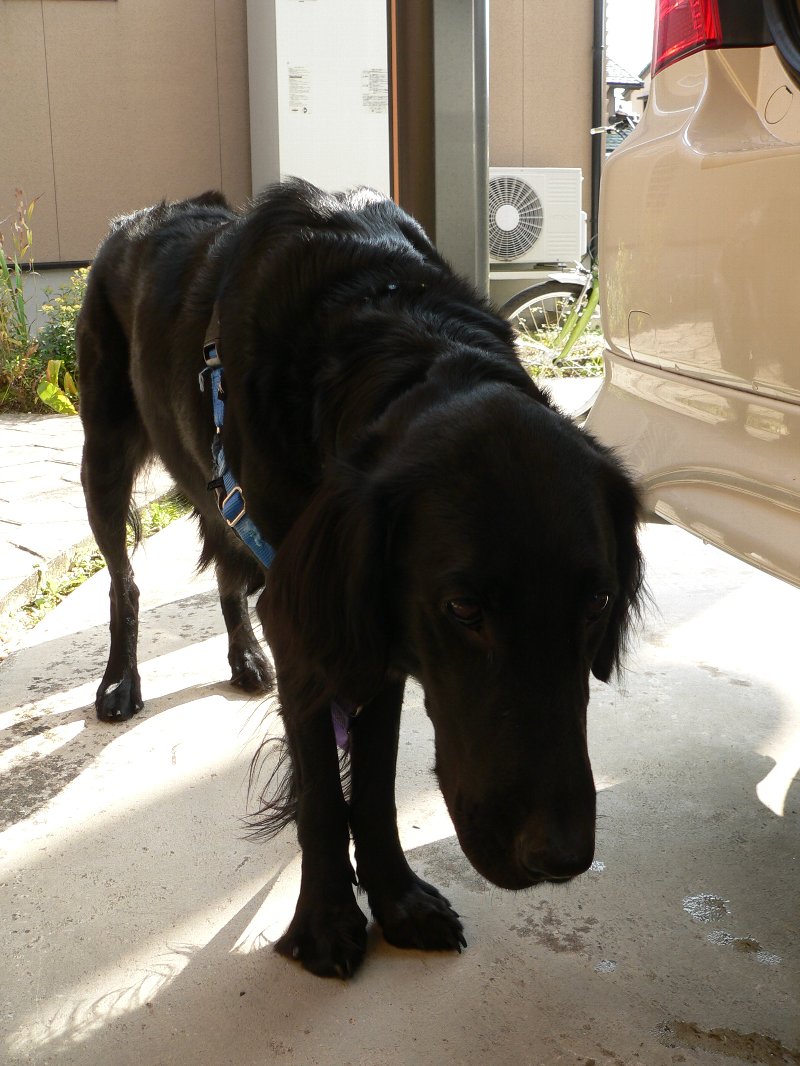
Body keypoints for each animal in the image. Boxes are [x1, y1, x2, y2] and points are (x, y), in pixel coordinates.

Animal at [77, 179, 643, 978]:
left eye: (597, 601)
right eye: (463, 607)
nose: (560, 857)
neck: (392, 324)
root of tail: (136, 219)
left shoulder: (379, 639)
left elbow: (371, 785)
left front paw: (397, 899)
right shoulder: (314, 629)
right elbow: (322, 791)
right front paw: (324, 921)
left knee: (225, 567)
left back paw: (243, 658)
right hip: (103, 451)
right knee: (124, 581)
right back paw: (122, 682)